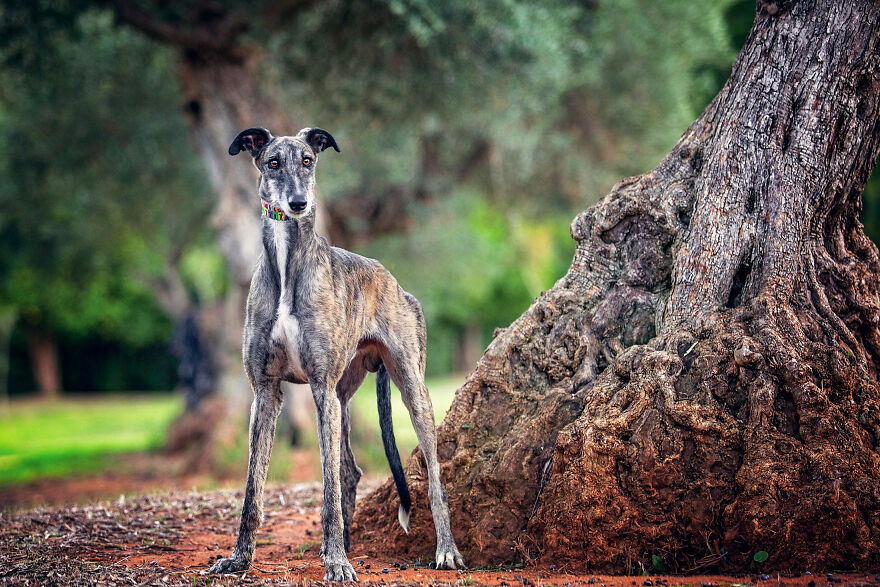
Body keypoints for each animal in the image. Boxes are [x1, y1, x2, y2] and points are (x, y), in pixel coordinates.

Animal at [209, 126, 464, 580]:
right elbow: (253, 490)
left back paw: (445, 550)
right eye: (273, 162)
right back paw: (340, 544)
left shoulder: (320, 387)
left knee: (435, 479)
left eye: (308, 160)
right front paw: (239, 558)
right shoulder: (266, 392)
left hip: (410, 388)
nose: (298, 203)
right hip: (342, 399)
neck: (287, 262)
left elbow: (326, 490)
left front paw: (338, 564)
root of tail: (393, 281)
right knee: (349, 470)